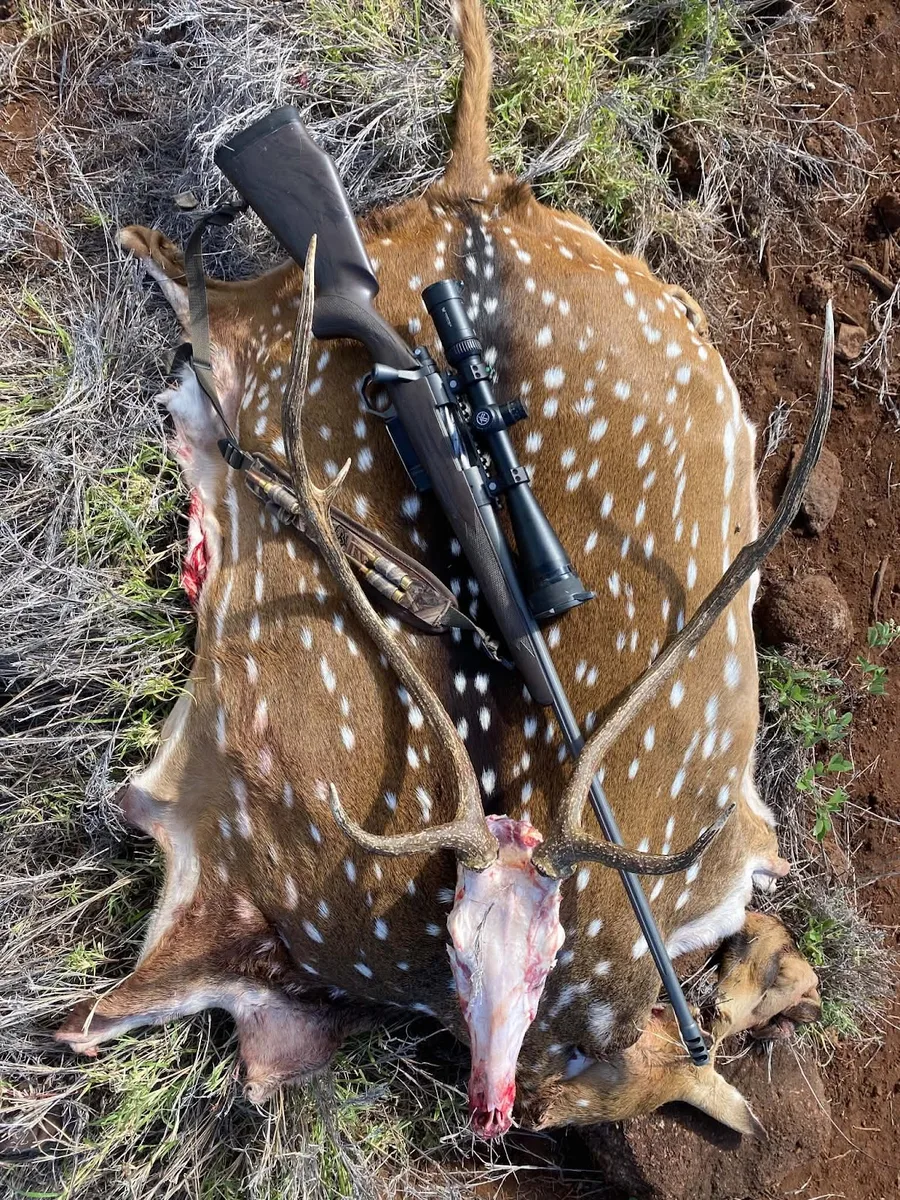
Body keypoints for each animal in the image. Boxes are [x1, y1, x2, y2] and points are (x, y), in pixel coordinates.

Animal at [57, 0, 824, 1141]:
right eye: (458, 947)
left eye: (546, 954)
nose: (492, 1107)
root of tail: (469, 198)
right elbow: (108, 1011)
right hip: (248, 320)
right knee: (192, 285)